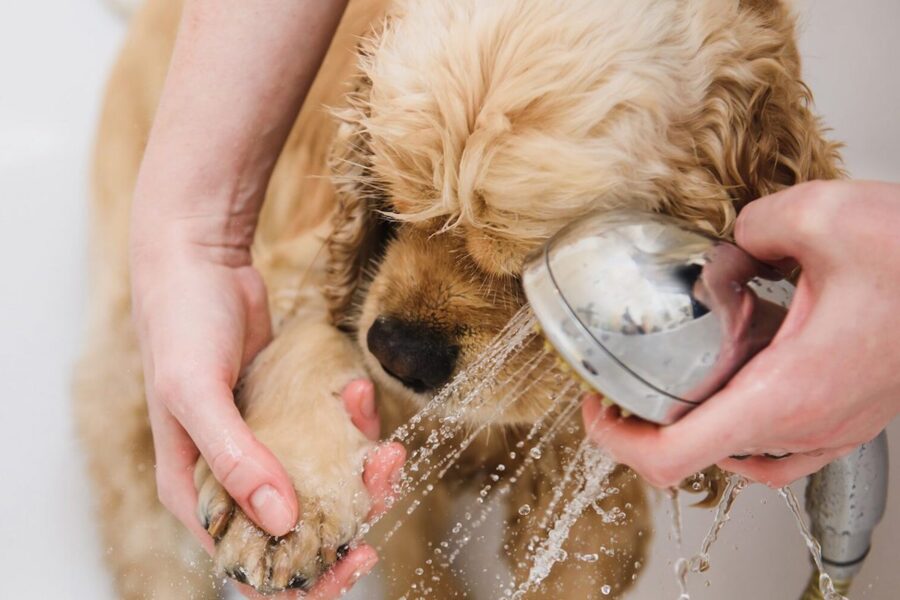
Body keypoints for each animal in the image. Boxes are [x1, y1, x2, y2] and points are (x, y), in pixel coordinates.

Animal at [74, 0, 840, 596]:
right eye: (390, 198)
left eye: (534, 266)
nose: (397, 353)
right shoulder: (308, 262)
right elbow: (308, 339)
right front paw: (287, 502)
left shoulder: (591, 493)